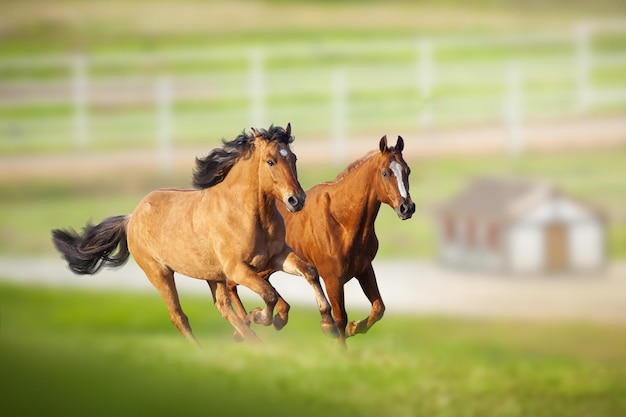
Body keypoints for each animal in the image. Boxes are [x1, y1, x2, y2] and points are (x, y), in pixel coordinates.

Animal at [50, 123, 336, 344]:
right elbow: (269, 294)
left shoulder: (276, 257)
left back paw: (253, 340)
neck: (247, 214)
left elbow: (308, 273)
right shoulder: (237, 270)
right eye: (270, 161)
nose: (296, 200)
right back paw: (204, 349)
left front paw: (327, 325)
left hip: (211, 275)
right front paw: (262, 316)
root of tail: (131, 218)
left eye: (294, 159)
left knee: (223, 308)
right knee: (179, 316)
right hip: (160, 273)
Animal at [216, 135, 414, 346]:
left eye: (407, 170)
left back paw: (268, 318)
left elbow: (378, 308)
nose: (407, 207)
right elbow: (340, 318)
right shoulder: (332, 279)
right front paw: (338, 341)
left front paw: (353, 327)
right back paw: (247, 325)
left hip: (267, 266)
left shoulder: (364, 268)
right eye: (385, 173)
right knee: (231, 284)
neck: (341, 221)